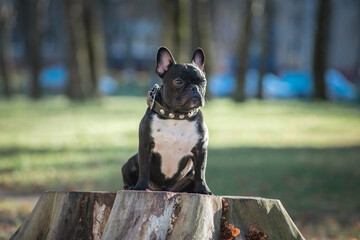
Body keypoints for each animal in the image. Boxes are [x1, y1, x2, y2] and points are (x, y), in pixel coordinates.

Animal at [121, 47, 211, 195]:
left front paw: (203, 190)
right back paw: (131, 187)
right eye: (179, 81)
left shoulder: (200, 150)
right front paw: (140, 187)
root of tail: (163, 189)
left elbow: (201, 172)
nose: (194, 88)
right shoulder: (145, 146)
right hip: (130, 163)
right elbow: (144, 169)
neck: (176, 116)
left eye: (203, 82)